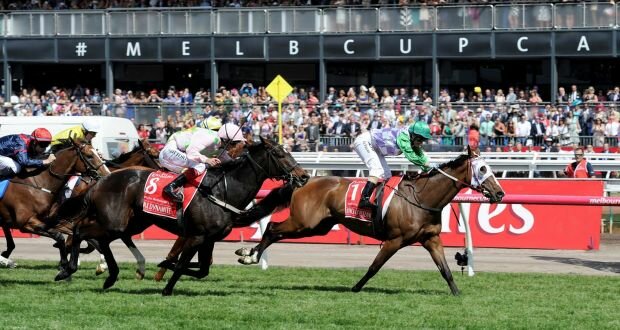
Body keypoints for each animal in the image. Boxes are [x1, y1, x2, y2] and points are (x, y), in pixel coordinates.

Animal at [0, 139, 109, 268]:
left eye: (98, 154)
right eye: (89, 156)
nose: (107, 174)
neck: (39, 184)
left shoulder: (52, 220)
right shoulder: (27, 223)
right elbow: (60, 237)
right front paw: (64, 263)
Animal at [54, 138, 308, 296]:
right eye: (279, 154)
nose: (304, 176)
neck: (222, 190)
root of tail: (101, 180)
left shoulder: (208, 238)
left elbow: (202, 269)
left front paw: (165, 265)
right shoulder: (196, 236)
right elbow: (184, 263)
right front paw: (166, 287)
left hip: (131, 223)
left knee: (100, 239)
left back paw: (110, 275)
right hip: (114, 222)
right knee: (80, 230)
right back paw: (67, 269)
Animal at [236, 146, 504, 296]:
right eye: (482, 169)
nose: (500, 193)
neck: (421, 197)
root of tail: (304, 180)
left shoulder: (431, 239)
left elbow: (445, 270)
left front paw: (457, 293)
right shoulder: (395, 240)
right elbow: (374, 267)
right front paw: (356, 287)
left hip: (316, 227)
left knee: (276, 231)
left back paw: (249, 253)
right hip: (304, 222)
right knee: (272, 228)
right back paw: (250, 255)